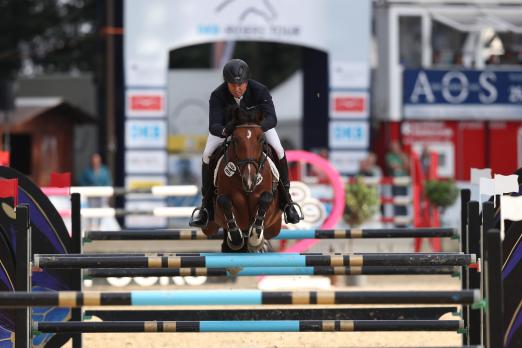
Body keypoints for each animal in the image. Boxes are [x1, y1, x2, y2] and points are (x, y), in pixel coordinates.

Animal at [201, 106, 280, 253]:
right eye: (236, 139)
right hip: (210, 226)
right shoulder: (222, 203)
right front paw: (236, 237)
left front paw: (255, 239)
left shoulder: (270, 204)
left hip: (274, 226)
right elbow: (224, 201)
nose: (249, 179)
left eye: (261, 139)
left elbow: (266, 199)